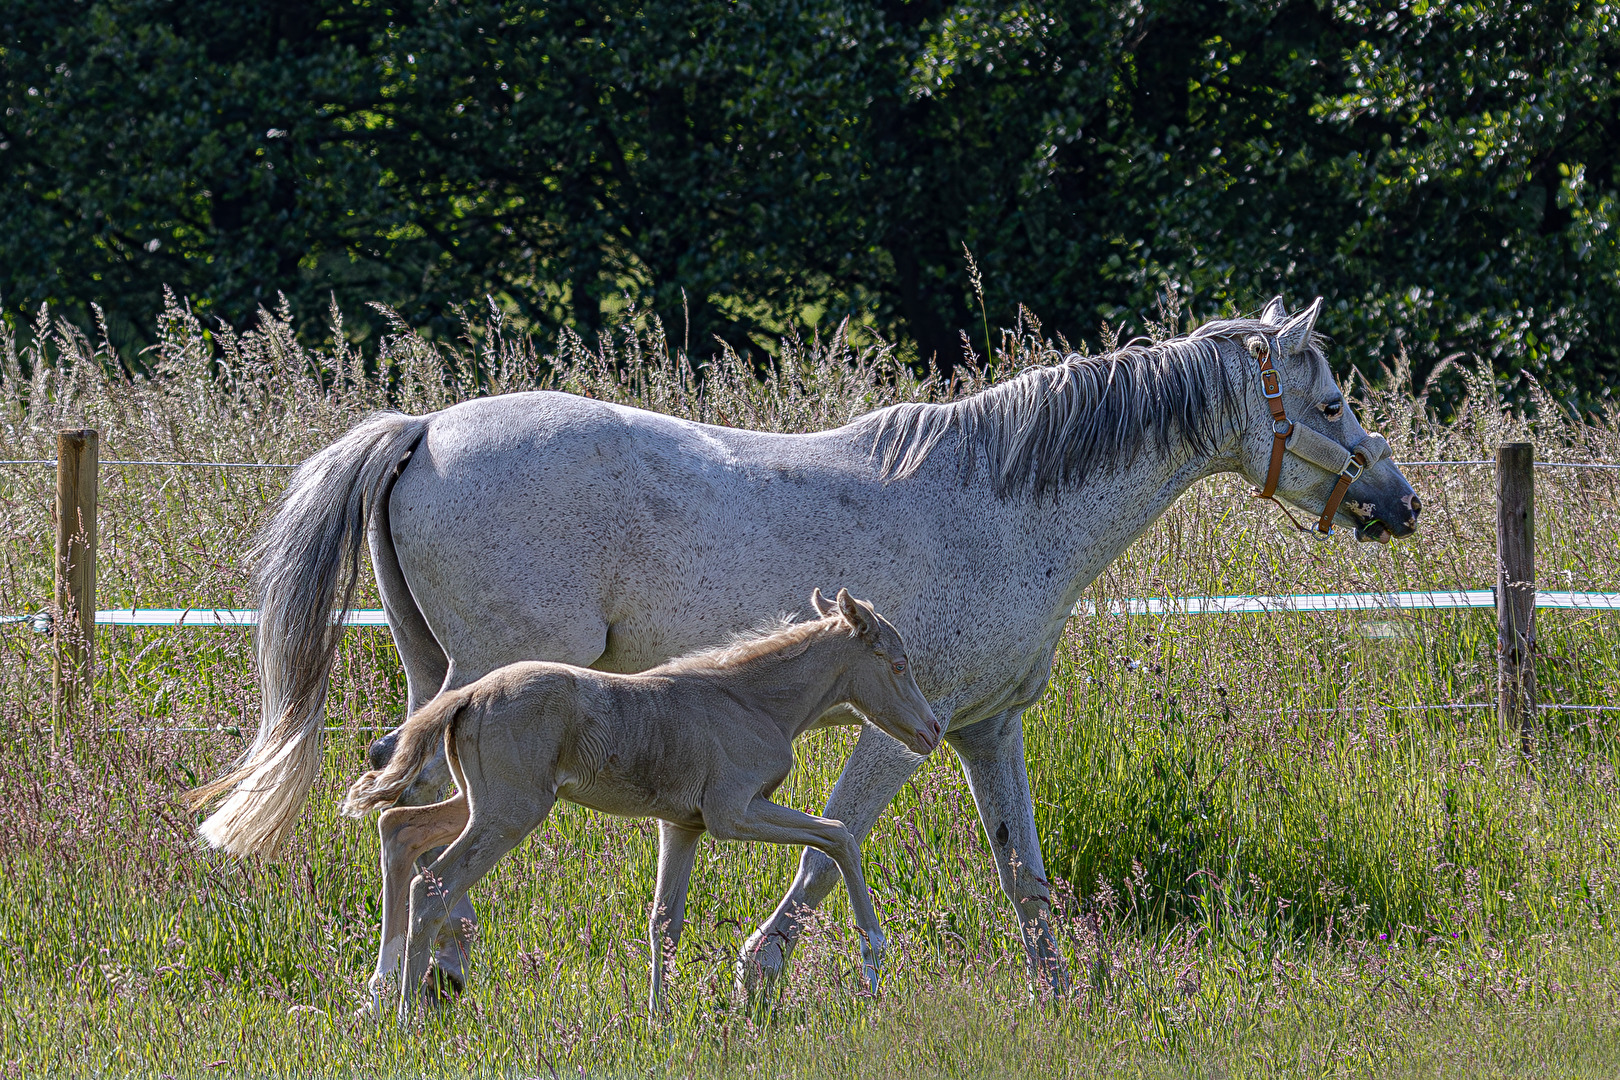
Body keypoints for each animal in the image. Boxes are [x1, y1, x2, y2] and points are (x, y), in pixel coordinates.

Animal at [192, 296, 1419, 997]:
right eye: (1334, 402)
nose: (1400, 504)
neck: (999, 504)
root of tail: (422, 429)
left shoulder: (986, 731)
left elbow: (1021, 875)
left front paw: (1065, 1000)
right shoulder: (906, 734)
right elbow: (832, 851)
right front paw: (758, 976)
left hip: (435, 684)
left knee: (405, 823)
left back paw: (402, 985)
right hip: (489, 679)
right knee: (430, 841)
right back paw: (430, 977)